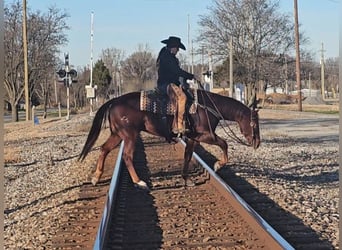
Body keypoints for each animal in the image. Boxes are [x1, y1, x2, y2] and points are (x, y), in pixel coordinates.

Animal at [79, 88, 260, 189]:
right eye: (254, 123)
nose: (257, 143)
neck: (208, 107)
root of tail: (114, 101)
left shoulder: (193, 138)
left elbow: (187, 156)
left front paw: (187, 180)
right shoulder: (205, 135)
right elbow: (224, 143)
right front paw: (218, 165)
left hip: (118, 134)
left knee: (104, 149)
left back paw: (96, 177)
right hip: (130, 135)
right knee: (127, 156)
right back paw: (139, 182)